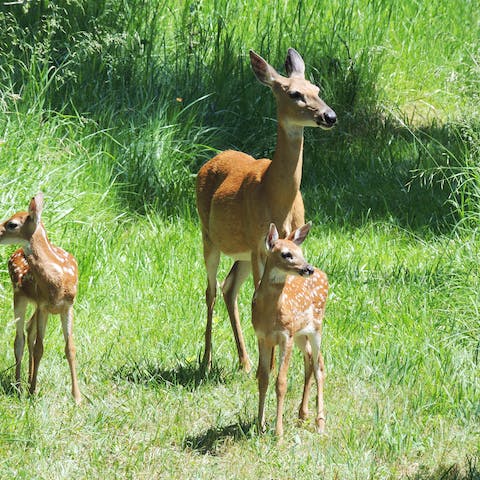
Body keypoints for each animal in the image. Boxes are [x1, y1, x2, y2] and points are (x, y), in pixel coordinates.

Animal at [0, 193, 81, 404]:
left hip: (35, 304)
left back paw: (27, 380)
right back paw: (19, 385)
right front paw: (32, 392)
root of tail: (16, 252)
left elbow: (70, 349)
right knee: (19, 339)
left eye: (12, 224)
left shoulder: (67, 306)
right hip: (19, 295)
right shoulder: (44, 306)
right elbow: (39, 348)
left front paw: (77, 397)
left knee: (29, 330)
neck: (58, 280)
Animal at [197, 47, 336, 372]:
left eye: (317, 89)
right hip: (210, 236)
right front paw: (270, 363)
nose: (330, 116)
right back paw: (207, 359)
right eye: (296, 94)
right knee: (211, 290)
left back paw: (244, 361)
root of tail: (211, 160)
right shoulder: (260, 244)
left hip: (243, 252)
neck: (273, 194)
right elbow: (259, 294)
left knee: (229, 287)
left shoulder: (284, 244)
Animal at [253, 223, 328, 436]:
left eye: (300, 252)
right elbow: (263, 379)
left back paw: (320, 423)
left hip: (316, 327)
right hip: (300, 333)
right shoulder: (262, 337)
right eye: (286, 254)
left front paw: (278, 433)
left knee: (319, 366)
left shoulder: (285, 336)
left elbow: (281, 382)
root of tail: (324, 274)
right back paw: (302, 414)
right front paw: (260, 425)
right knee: (310, 360)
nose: (308, 268)